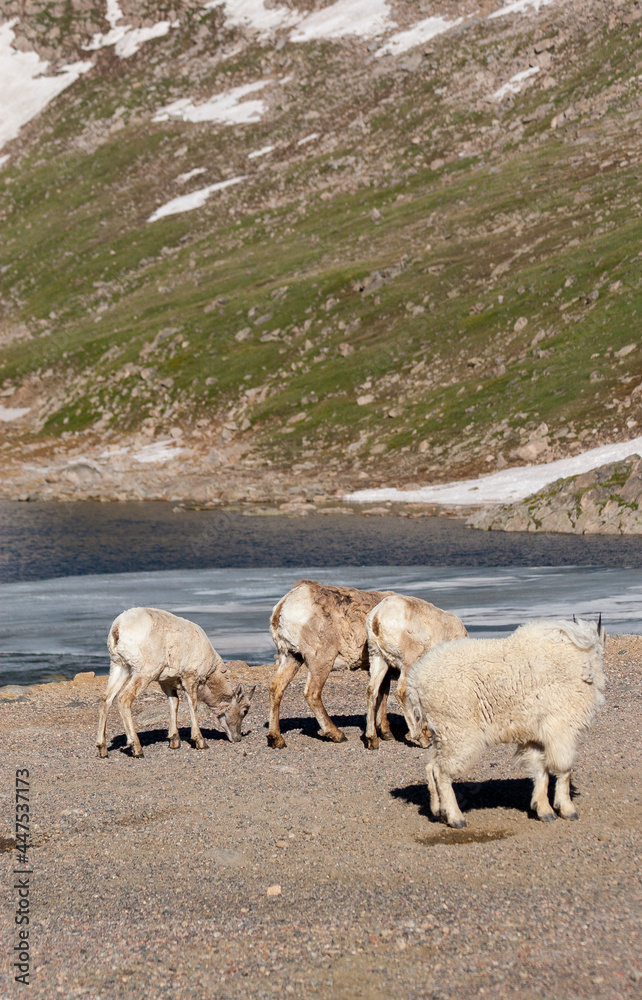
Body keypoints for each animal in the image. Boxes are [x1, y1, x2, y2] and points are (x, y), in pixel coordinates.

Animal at [96, 607, 255, 758]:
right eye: (244, 711)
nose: (237, 738)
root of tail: (118, 628)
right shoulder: (190, 678)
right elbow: (193, 705)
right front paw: (200, 742)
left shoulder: (167, 682)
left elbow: (174, 703)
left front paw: (174, 742)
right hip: (143, 672)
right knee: (124, 698)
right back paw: (137, 748)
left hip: (119, 666)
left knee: (106, 698)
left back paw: (102, 749)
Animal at [267, 579, 392, 748]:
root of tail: (284, 605)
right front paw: (386, 732)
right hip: (321, 659)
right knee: (312, 692)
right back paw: (337, 735)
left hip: (291, 656)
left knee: (276, 688)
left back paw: (276, 739)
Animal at [365, 594, 468, 750]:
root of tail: (378, 616)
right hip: (408, 661)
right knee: (401, 692)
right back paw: (421, 739)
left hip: (378, 657)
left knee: (371, 690)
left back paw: (372, 740)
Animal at [406, 618, 606, 828]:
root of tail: (415, 682)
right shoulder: (562, 729)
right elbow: (564, 769)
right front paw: (567, 809)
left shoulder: (536, 735)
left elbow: (540, 771)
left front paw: (543, 810)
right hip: (457, 732)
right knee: (442, 771)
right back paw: (455, 817)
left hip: (441, 734)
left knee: (431, 767)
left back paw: (438, 810)